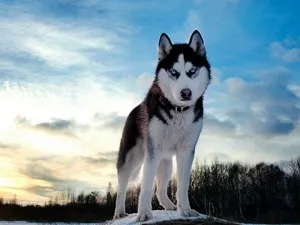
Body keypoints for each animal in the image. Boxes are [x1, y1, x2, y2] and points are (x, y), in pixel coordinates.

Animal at [114, 29, 211, 221]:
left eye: (192, 70)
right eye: (173, 71)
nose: (186, 93)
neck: (178, 111)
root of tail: (134, 110)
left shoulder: (186, 151)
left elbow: (183, 184)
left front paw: (185, 209)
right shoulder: (152, 151)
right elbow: (145, 186)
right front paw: (144, 213)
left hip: (165, 162)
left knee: (160, 190)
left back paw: (169, 205)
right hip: (131, 159)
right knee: (122, 187)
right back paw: (119, 212)